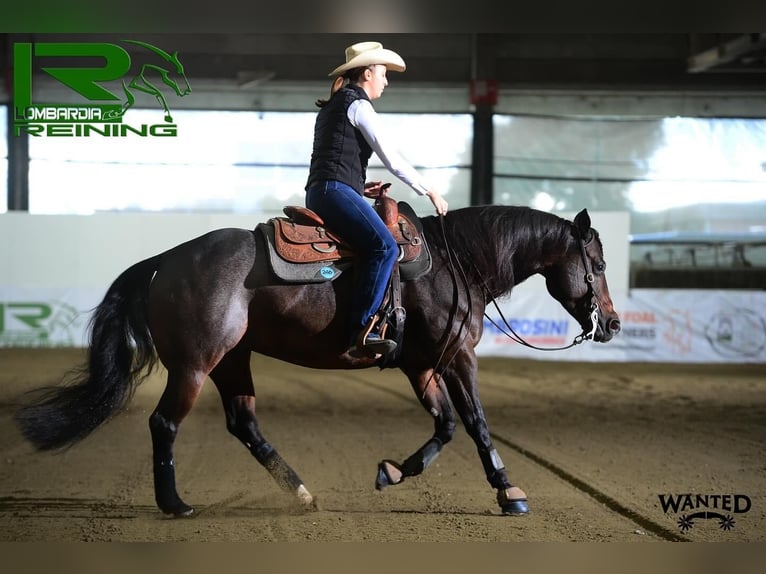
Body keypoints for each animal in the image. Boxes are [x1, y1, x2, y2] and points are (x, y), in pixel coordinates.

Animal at [13, 201, 624, 516]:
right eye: (597, 263)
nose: (614, 324)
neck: (459, 265)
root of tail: (168, 258)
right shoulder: (456, 358)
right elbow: (475, 422)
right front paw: (509, 491)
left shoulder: (420, 364)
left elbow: (447, 425)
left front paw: (392, 472)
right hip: (194, 364)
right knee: (164, 423)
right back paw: (175, 503)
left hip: (233, 361)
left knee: (243, 422)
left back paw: (299, 490)